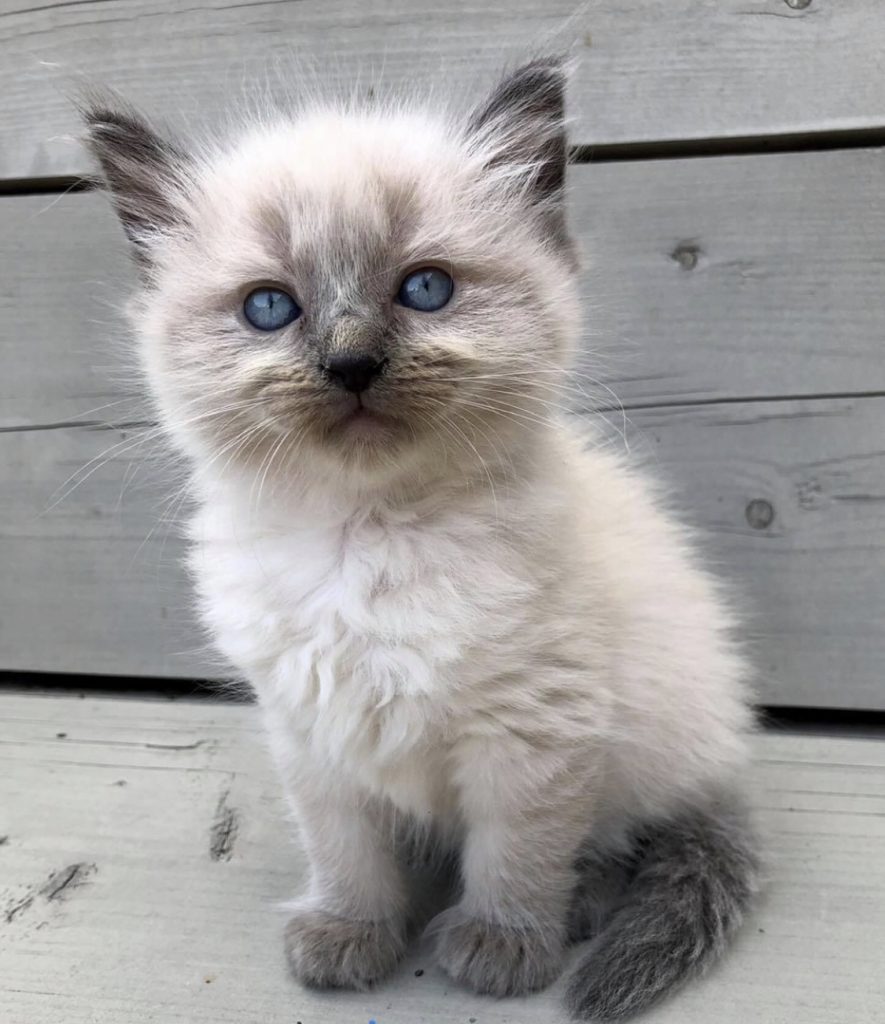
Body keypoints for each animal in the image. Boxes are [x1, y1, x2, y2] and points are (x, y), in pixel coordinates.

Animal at [84, 58, 762, 1024]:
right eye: (268, 308)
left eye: (425, 289)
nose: (351, 362)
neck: (366, 541)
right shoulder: (313, 733)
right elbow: (344, 854)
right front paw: (350, 933)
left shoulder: (534, 734)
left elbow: (515, 854)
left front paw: (501, 947)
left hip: (648, 745)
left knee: (616, 842)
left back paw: (574, 910)